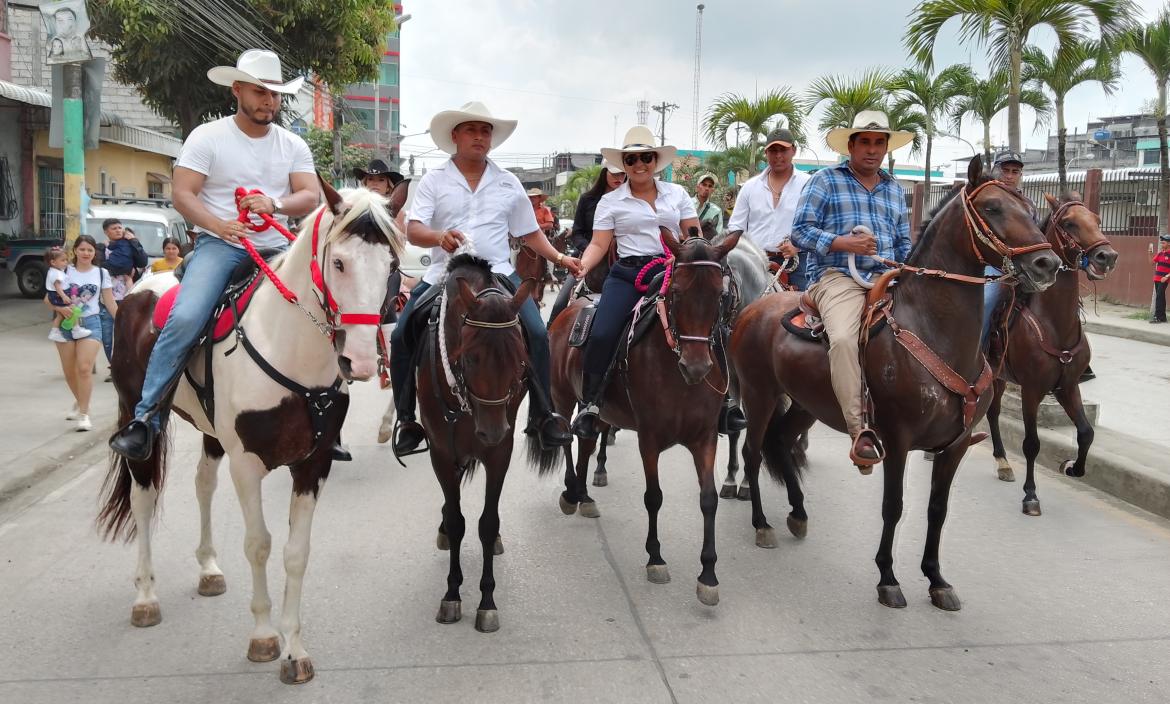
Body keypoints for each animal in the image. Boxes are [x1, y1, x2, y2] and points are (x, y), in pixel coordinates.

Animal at [93, 181, 402, 678]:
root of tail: (141, 288)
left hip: (211, 432)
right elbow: (259, 544)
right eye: (338, 263)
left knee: (202, 483)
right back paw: (145, 595)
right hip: (137, 414)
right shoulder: (247, 464)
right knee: (143, 497)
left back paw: (208, 570)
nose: (358, 360)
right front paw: (263, 636)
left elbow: (296, 552)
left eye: (391, 267)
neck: (289, 350)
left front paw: (294, 647)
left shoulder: (312, 464)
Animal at [414, 250, 545, 631]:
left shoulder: (500, 453)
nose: (491, 431)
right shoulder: (442, 452)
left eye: (520, 360)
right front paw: (452, 594)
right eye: (470, 357)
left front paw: (487, 601)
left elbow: (488, 523)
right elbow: (458, 521)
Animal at [549, 229, 739, 603]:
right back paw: (571, 492)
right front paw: (655, 557)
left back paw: (584, 495)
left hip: (599, 410)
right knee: (566, 439)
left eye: (719, 295)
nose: (696, 367)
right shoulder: (649, 438)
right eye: (676, 292)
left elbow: (708, 500)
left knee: (587, 440)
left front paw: (708, 574)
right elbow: (654, 497)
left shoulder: (705, 438)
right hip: (562, 397)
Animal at [734, 154, 1067, 608]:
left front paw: (937, 579)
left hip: (806, 404)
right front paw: (888, 578)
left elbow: (937, 510)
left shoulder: (955, 445)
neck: (933, 331)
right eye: (993, 208)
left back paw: (798, 513)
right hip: (759, 394)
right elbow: (894, 506)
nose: (1047, 264)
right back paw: (761, 523)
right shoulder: (897, 439)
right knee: (752, 451)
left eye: (1031, 211)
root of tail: (755, 306)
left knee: (781, 442)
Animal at [987, 192, 1123, 514]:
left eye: (1098, 219)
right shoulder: (1031, 390)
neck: (1054, 322)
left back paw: (1002, 462)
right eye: (1069, 223)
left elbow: (1086, 433)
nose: (1107, 256)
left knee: (993, 411)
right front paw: (1030, 495)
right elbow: (1031, 443)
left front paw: (1072, 467)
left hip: (1000, 376)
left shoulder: (1068, 386)